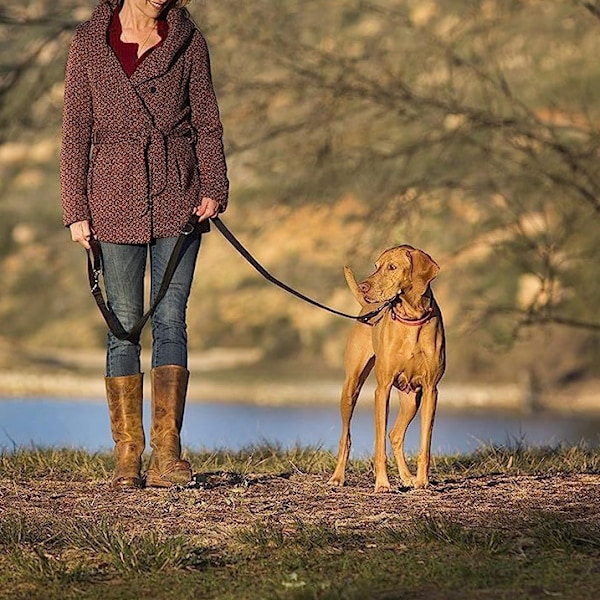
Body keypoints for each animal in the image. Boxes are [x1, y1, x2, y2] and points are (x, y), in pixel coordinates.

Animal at [328, 245, 446, 492]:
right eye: (376, 265)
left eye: (392, 267)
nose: (364, 286)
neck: (412, 318)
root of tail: (366, 307)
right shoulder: (382, 389)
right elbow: (378, 444)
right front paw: (382, 483)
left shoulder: (431, 390)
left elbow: (425, 444)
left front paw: (422, 481)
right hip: (351, 387)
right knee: (347, 437)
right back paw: (337, 477)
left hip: (412, 400)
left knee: (395, 434)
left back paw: (408, 477)